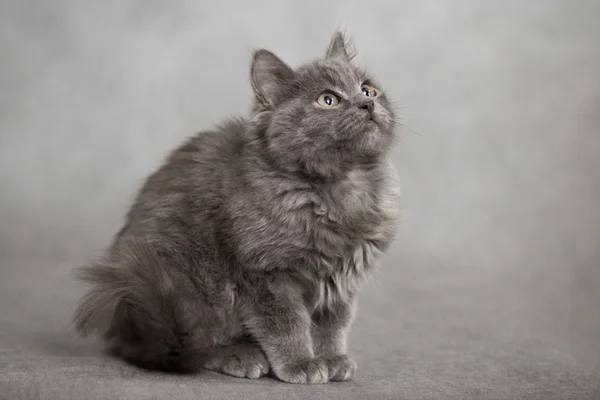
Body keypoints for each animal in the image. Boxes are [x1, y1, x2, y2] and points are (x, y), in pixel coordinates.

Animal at [76, 32, 404, 384]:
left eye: (367, 89)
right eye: (328, 100)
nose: (367, 104)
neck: (340, 188)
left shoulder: (341, 281)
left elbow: (332, 324)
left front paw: (331, 359)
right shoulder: (264, 273)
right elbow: (286, 325)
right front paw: (300, 364)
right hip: (192, 280)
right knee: (199, 338)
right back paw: (240, 356)